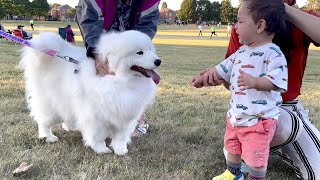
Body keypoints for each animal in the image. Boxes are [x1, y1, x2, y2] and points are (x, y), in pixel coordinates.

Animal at [19, 30, 160, 155]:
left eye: (150, 50)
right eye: (139, 52)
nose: (158, 61)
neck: (119, 79)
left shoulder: (124, 117)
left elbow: (120, 137)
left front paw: (120, 150)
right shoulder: (96, 117)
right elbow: (98, 136)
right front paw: (101, 149)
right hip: (51, 107)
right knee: (44, 122)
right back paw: (48, 137)